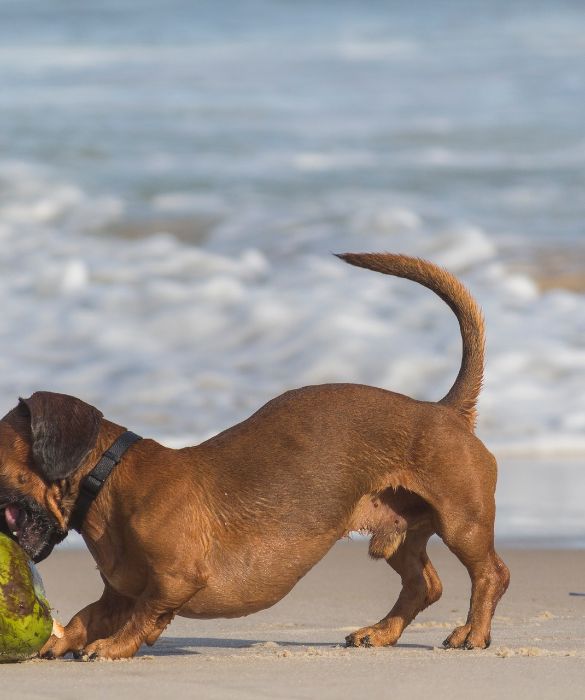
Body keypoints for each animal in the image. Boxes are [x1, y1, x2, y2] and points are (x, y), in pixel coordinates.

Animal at [0, 254, 506, 660]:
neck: (110, 480)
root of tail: (444, 410)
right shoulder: (117, 593)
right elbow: (86, 615)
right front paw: (61, 641)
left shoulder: (174, 582)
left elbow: (146, 615)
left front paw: (114, 646)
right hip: (398, 535)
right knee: (424, 584)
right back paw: (381, 632)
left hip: (462, 523)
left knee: (491, 574)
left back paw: (472, 633)